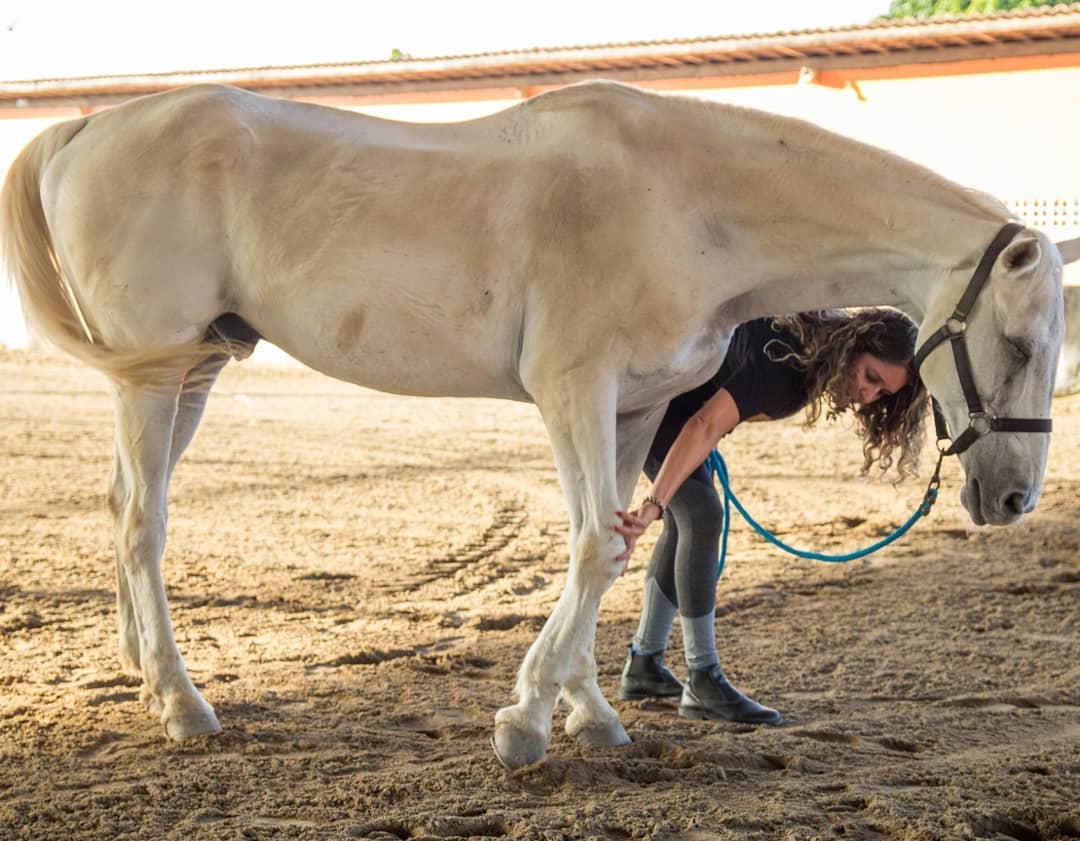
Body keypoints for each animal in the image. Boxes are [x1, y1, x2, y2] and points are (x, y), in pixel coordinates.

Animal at [0, 78, 1067, 768]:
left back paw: (144, 676)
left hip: (194, 371)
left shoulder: (635, 409)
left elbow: (614, 546)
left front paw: (587, 712)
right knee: (145, 522)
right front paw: (525, 723)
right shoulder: (573, 391)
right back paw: (184, 704)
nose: (1015, 498)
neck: (688, 201)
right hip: (155, 374)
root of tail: (82, 131)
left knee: (123, 505)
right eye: (1020, 344)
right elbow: (595, 546)